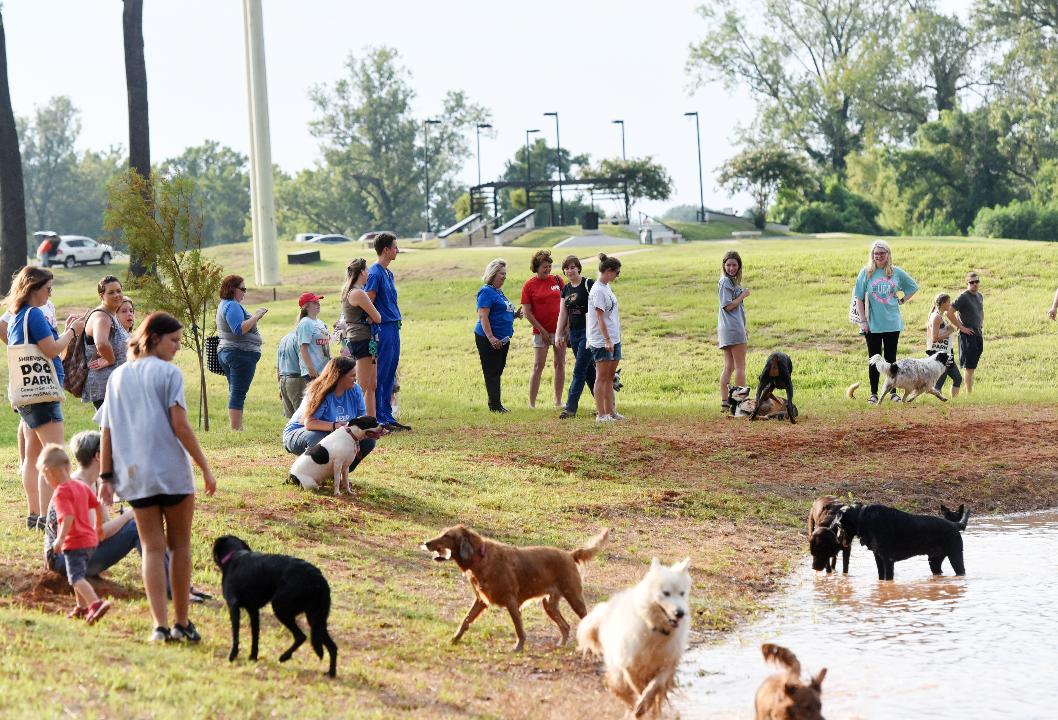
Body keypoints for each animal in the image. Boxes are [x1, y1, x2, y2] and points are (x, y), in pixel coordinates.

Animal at [208, 532, 336, 680]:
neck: (234, 555)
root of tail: (319, 579)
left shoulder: (234, 607)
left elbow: (236, 636)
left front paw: (232, 656)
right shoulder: (253, 611)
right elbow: (255, 637)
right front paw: (253, 657)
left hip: (281, 608)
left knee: (301, 636)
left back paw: (284, 657)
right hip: (316, 620)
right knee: (332, 647)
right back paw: (331, 673)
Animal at [418, 522, 609, 651]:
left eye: (447, 536)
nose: (426, 542)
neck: (480, 558)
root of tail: (569, 554)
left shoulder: (511, 602)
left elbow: (519, 629)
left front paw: (519, 647)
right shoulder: (481, 601)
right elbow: (465, 620)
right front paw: (454, 639)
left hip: (574, 597)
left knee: (585, 621)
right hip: (549, 605)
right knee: (565, 626)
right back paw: (560, 645)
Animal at [579, 558, 694, 714]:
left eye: (682, 593)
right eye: (666, 593)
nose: (680, 613)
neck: (655, 629)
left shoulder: (667, 663)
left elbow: (655, 685)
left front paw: (646, 702)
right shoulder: (629, 663)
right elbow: (637, 685)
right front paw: (640, 704)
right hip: (616, 669)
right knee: (621, 689)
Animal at [833, 503, 969, 579]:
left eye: (839, 525)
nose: (837, 539)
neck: (863, 518)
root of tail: (954, 524)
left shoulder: (887, 559)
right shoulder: (878, 557)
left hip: (955, 556)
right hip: (934, 561)